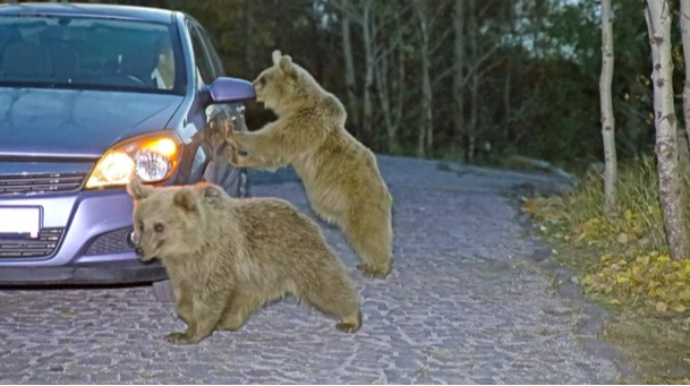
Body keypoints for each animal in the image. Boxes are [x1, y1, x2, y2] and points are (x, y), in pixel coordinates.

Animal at [125, 179, 360, 346]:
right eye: (141, 223)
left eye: (159, 226)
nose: (140, 249)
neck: (192, 245)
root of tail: (305, 216)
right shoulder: (180, 268)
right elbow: (184, 295)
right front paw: (187, 317)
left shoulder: (217, 256)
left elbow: (210, 295)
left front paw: (188, 333)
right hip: (257, 276)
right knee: (243, 299)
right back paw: (226, 321)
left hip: (298, 256)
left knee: (325, 285)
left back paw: (351, 318)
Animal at [220, 50, 392, 278]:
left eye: (263, 78)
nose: (250, 87)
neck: (295, 104)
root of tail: (385, 191)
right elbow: (271, 155)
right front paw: (238, 158)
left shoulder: (303, 126)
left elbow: (270, 141)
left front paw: (231, 132)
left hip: (361, 199)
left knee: (369, 232)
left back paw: (377, 266)